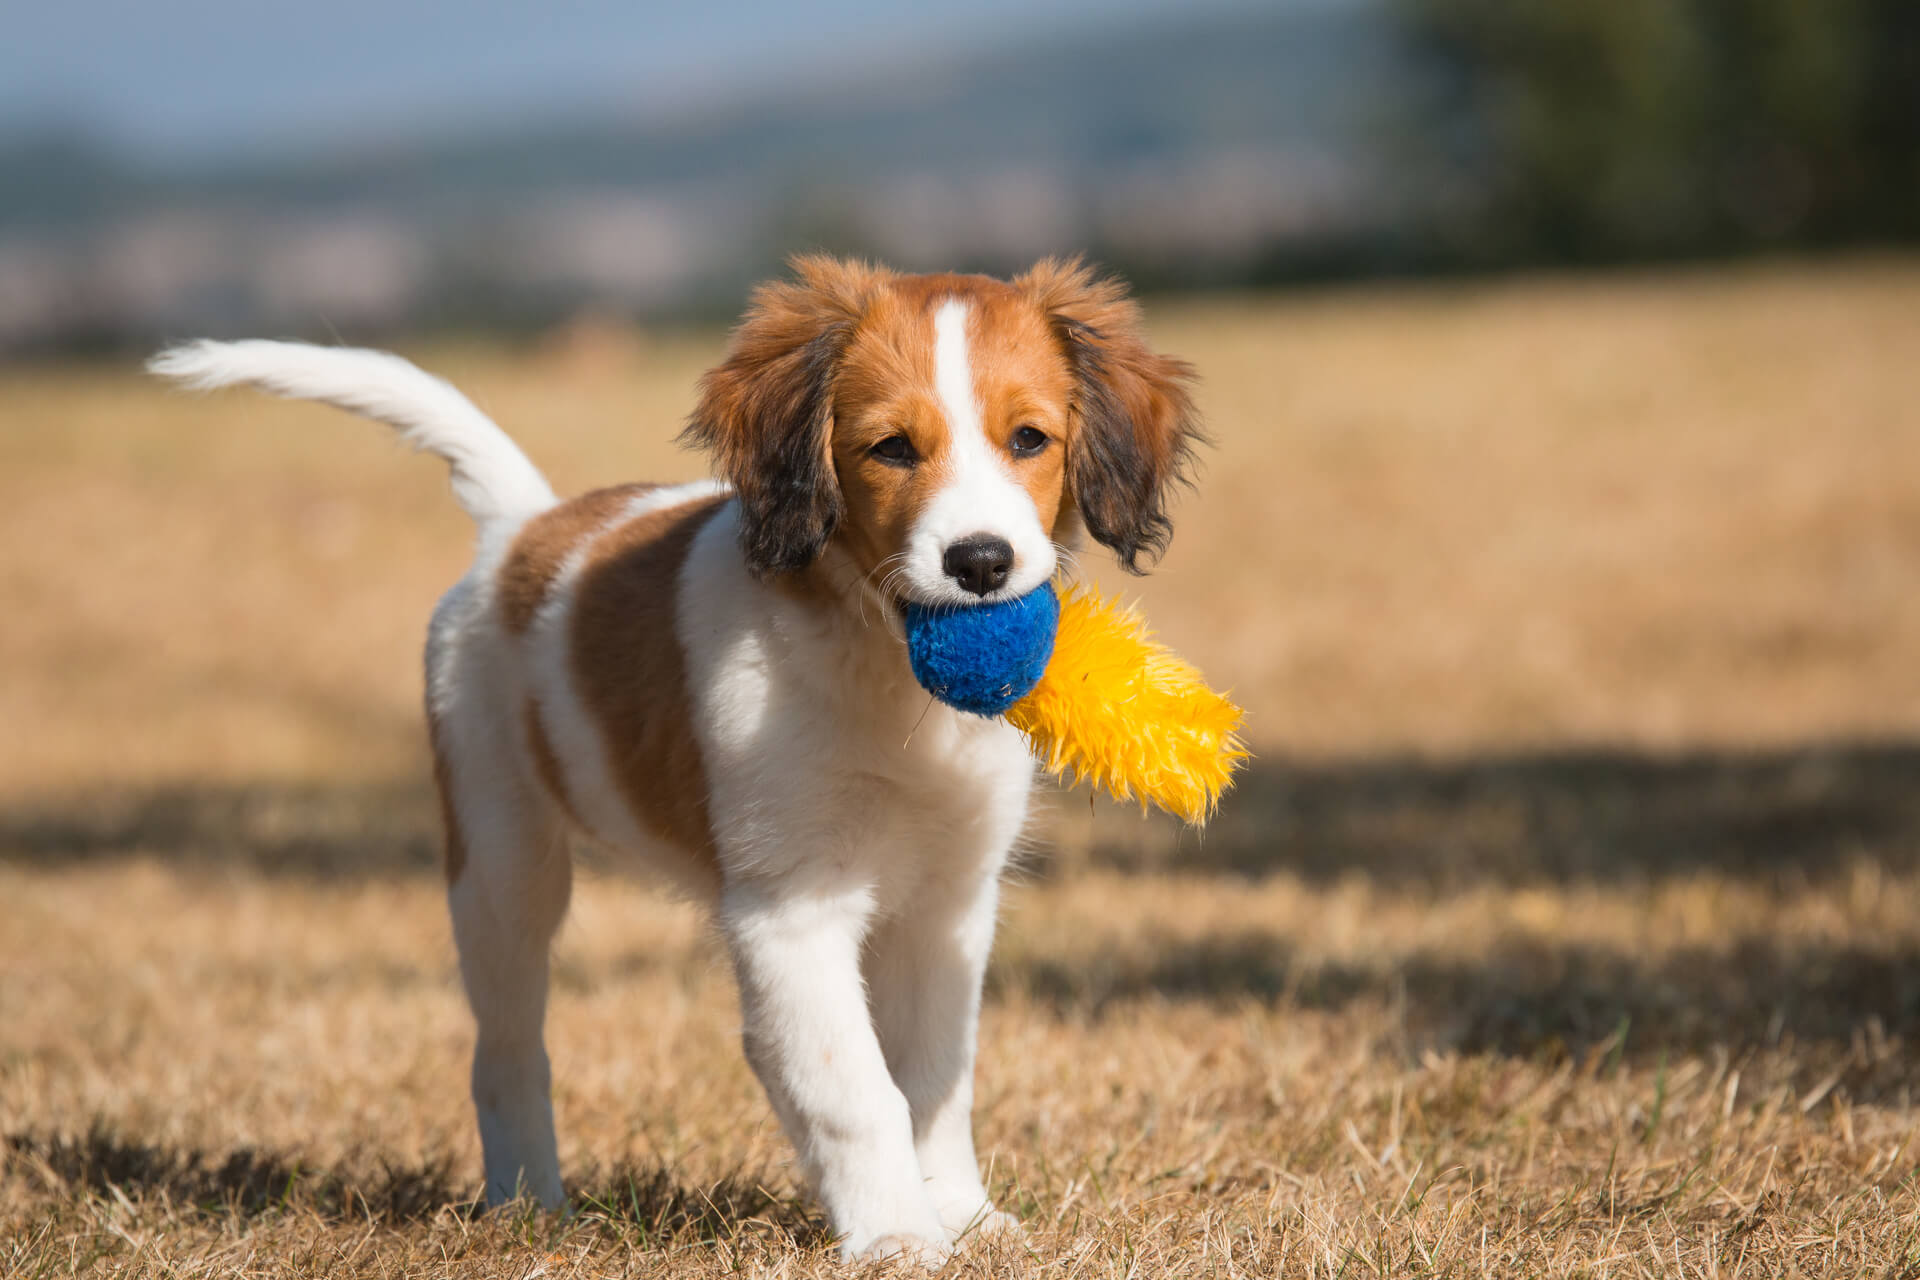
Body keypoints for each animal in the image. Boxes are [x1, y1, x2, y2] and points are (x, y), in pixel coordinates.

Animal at [153, 257, 1198, 1258]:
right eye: (893, 448)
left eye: (1029, 439)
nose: (980, 563)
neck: (881, 671)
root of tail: (523, 529)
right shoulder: (790, 908)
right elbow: (854, 1087)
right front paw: (897, 1233)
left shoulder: (949, 903)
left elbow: (935, 1074)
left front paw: (964, 1216)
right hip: (499, 862)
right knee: (506, 1051)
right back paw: (528, 1205)